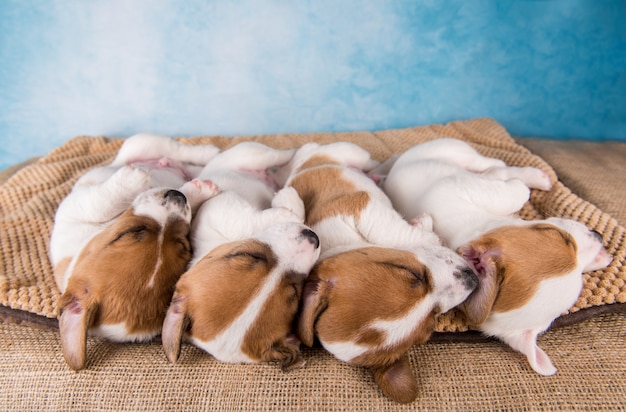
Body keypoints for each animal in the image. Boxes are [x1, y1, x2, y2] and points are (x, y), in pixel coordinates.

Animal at [51, 134, 222, 370]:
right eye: (133, 231)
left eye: (182, 244)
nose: (176, 195)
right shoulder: (76, 208)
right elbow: (99, 205)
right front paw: (135, 179)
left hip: (142, 143)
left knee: (174, 148)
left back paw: (207, 154)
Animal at [161, 142, 320, 370]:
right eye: (295, 294)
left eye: (251, 255)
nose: (312, 237)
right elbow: (253, 221)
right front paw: (287, 202)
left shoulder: (217, 210)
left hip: (255, 154)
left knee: (284, 157)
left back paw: (305, 151)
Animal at [276, 142, 476, 402]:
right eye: (431, 324)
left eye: (413, 273)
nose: (473, 279)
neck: (339, 245)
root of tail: (307, 158)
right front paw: (428, 232)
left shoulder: (361, 208)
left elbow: (395, 232)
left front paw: (424, 229)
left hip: (352, 151)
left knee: (364, 160)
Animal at [380, 138, 608, 376]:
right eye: (559, 236)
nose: (599, 234)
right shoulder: (463, 189)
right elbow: (513, 192)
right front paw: (521, 186)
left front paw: (599, 256)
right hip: (458, 153)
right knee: (494, 165)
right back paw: (534, 176)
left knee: (494, 168)